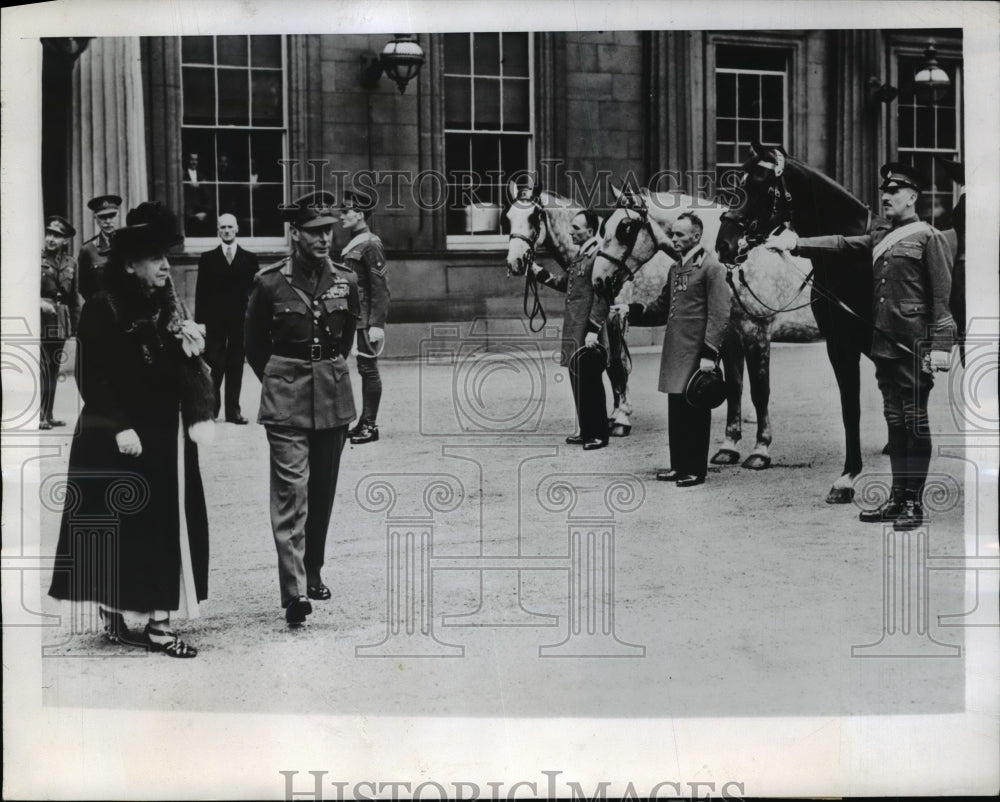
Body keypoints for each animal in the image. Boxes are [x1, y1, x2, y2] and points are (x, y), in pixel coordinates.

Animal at [720, 145, 876, 500]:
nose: (724, 244)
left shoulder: (757, 331)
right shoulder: (839, 345)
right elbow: (850, 407)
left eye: (762, 187)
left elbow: (760, 391)